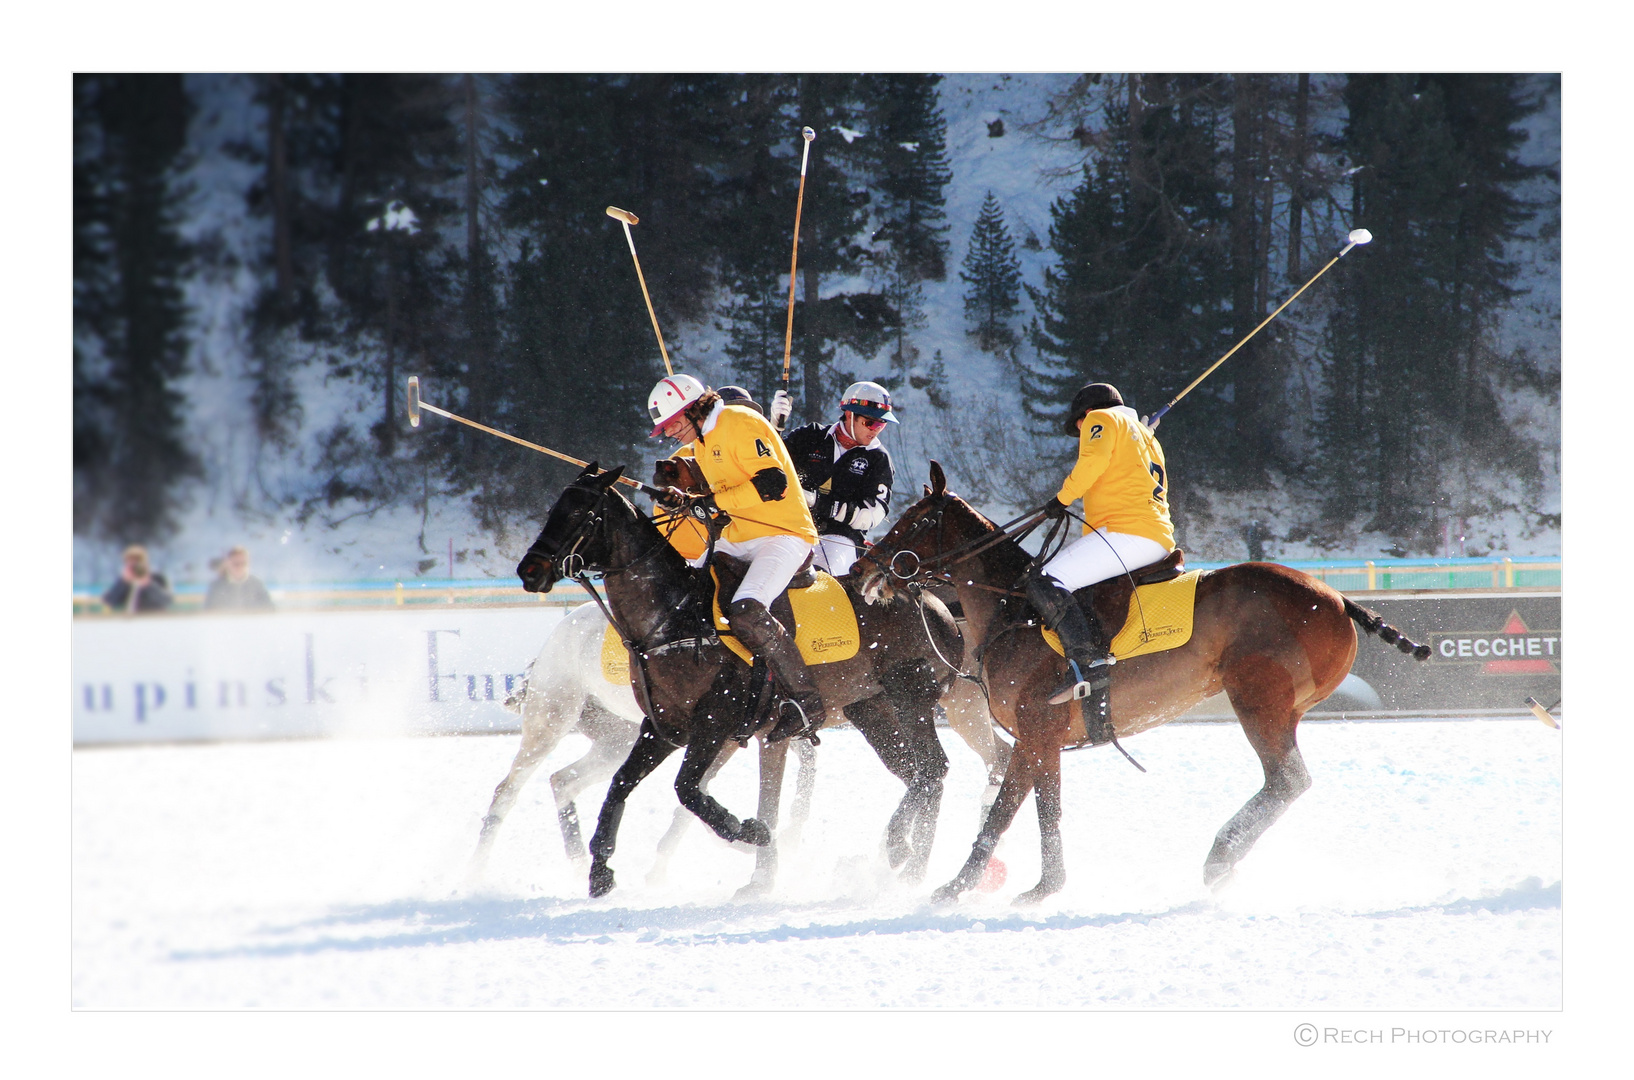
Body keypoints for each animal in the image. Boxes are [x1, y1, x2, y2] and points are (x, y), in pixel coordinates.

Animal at [467, 594, 1013, 888]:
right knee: (510, 787)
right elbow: (705, 795)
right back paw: (478, 867)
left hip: (612, 735)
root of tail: (556, 631)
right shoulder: (737, 733)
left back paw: (582, 859)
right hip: (553, 714)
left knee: (563, 780)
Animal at [516, 460, 960, 895]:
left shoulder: (715, 722)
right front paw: (600, 869)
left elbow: (688, 788)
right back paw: (898, 859)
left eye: (579, 513)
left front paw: (749, 833)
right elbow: (622, 783)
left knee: (932, 771)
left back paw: (905, 861)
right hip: (870, 707)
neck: (674, 618)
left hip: (911, 694)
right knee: (918, 774)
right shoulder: (663, 727)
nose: (529, 570)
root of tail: (932, 601)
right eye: (555, 508)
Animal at [856, 460, 1431, 908]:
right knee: (1286, 782)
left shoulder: (1036, 728)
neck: (1011, 611)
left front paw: (953, 888)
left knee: (1288, 780)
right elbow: (1044, 809)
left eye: (914, 520)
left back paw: (1219, 858)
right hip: (1282, 704)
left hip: (1257, 696)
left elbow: (1001, 814)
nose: (864, 566)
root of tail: (1337, 598)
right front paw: (1045, 887)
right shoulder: (1041, 739)